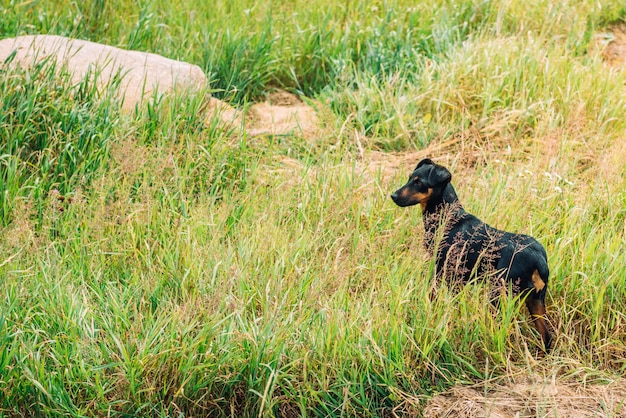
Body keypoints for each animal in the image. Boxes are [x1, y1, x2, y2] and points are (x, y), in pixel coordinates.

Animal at [390, 158, 552, 352]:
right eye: (409, 178)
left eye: (419, 183)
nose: (393, 196)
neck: (447, 216)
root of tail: (540, 260)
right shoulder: (457, 280)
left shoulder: (441, 273)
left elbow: (433, 297)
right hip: (536, 301)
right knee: (547, 337)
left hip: (500, 293)